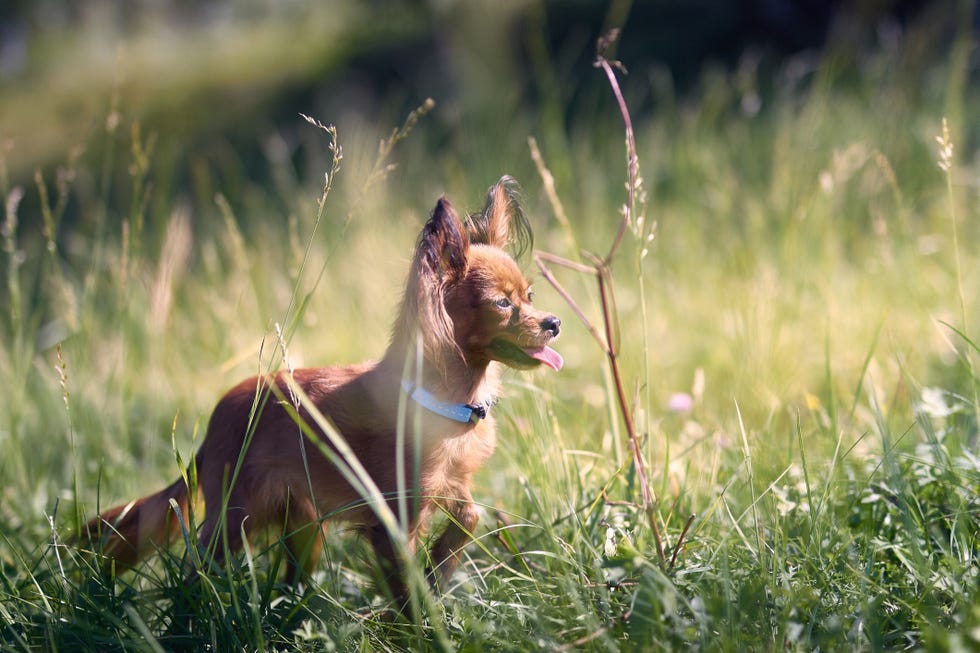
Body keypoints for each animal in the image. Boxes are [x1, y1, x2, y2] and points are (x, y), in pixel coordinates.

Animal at [80, 177, 564, 596]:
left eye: (530, 297)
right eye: (502, 304)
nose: (554, 323)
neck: (449, 402)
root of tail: (219, 414)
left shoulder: (449, 485)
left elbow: (470, 513)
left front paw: (439, 566)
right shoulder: (393, 523)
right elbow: (406, 591)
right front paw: (416, 624)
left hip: (304, 527)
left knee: (290, 580)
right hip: (236, 520)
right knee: (200, 569)